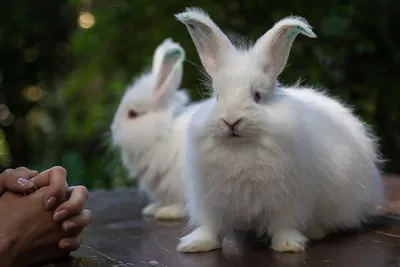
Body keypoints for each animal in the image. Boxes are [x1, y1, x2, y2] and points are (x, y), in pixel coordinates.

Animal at [110, 38, 203, 222]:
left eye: (132, 114)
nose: (113, 129)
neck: (162, 134)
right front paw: (152, 209)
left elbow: (181, 205)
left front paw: (167, 212)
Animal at [175, 7, 384, 253]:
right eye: (217, 96)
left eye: (257, 96)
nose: (231, 121)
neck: (241, 148)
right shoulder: (210, 202)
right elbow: (211, 226)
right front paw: (195, 244)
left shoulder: (288, 202)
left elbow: (285, 224)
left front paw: (288, 245)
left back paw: (316, 232)